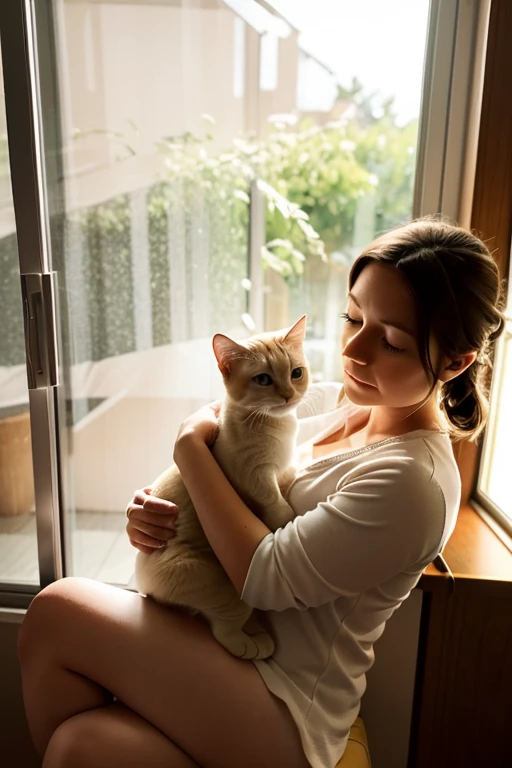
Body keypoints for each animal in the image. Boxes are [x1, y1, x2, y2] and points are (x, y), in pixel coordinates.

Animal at [135, 316, 308, 660]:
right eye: (263, 379)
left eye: (296, 373)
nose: (288, 394)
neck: (276, 426)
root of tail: (142, 582)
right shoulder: (254, 475)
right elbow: (275, 502)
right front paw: (285, 518)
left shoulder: (280, 467)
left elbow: (288, 476)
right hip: (222, 585)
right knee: (224, 628)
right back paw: (250, 642)